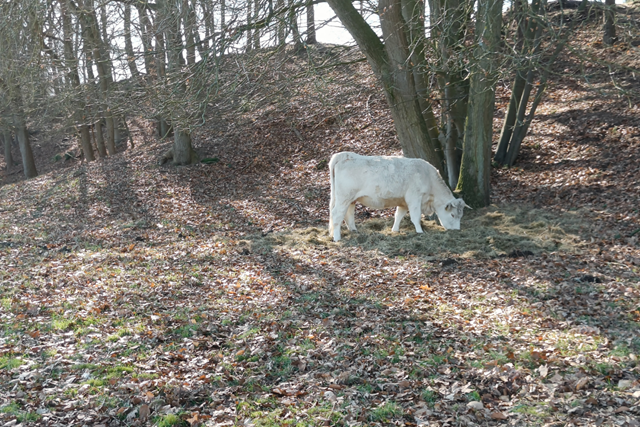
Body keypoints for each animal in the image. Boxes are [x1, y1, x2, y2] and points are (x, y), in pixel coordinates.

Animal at [330, 152, 470, 242]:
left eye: (461, 215)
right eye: (452, 215)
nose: (456, 230)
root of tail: (346, 155)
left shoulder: (403, 202)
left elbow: (399, 215)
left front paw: (395, 230)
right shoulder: (414, 198)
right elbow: (415, 217)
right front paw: (420, 232)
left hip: (350, 199)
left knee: (348, 214)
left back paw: (354, 231)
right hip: (344, 197)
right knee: (336, 214)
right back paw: (337, 238)